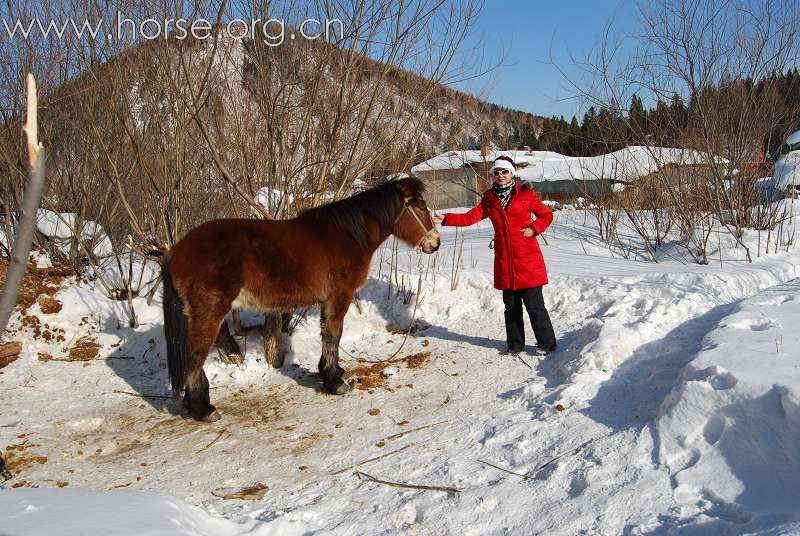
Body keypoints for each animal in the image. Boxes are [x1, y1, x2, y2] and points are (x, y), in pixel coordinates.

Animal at [161, 178, 438, 420]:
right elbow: (333, 335)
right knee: (194, 355)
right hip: (208, 313)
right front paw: (335, 382)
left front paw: (331, 373)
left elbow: (327, 334)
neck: (346, 235)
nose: (435, 243)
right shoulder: (339, 296)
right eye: (421, 207)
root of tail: (176, 251)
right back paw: (203, 409)